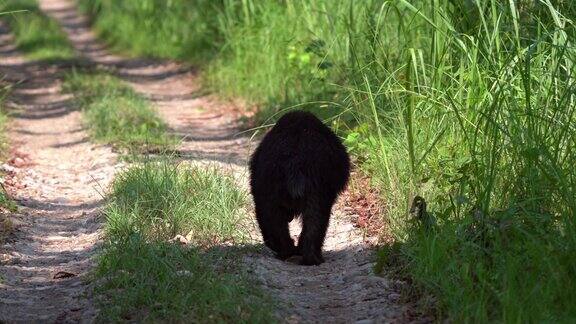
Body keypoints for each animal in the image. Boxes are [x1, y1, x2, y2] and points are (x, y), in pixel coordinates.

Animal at [249, 110, 348, 264]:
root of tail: (294, 158)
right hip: (315, 188)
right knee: (315, 219)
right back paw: (307, 256)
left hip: (272, 187)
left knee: (277, 220)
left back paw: (295, 253)